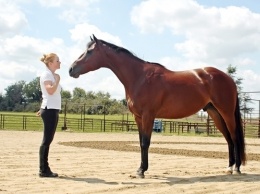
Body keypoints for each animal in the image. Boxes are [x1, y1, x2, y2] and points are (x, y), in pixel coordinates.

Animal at [69, 34, 246, 177]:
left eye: (90, 52)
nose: (71, 69)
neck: (139, 77)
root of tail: (228, 78)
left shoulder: (148, 116)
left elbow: (145, 143)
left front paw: (142, 171)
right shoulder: (138, 117)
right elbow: (141, 142)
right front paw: (140, 169)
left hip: (226, 113)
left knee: (234, 137)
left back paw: (237, 168)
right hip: (215, 113)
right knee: (228, 138)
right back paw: (229, 168)